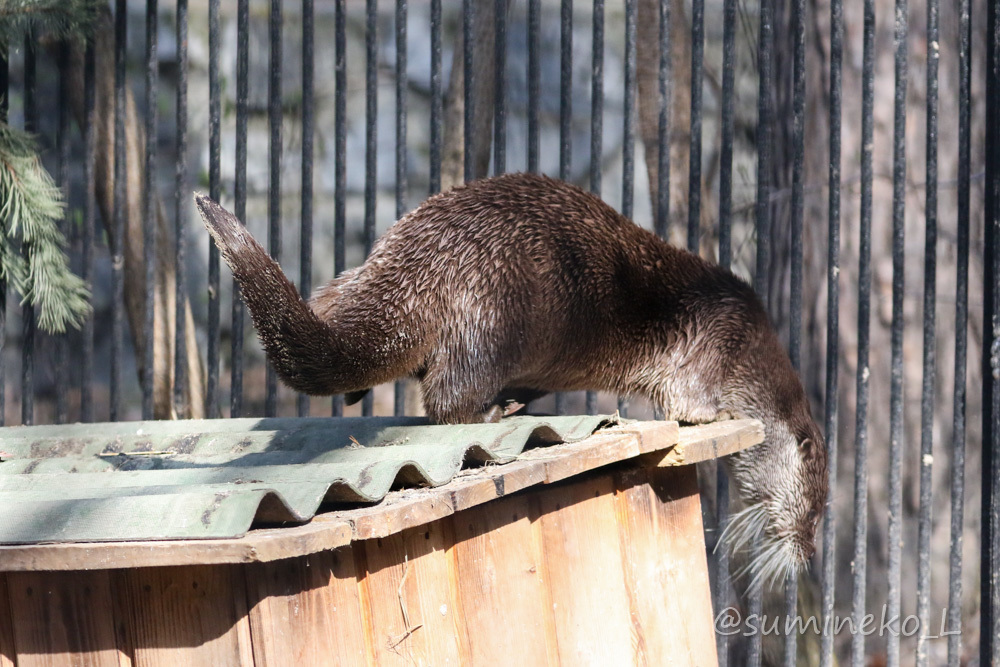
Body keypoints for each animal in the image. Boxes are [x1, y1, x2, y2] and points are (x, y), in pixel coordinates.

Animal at [195, 172, 828, 584]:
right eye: (816, 510)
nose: (808, 553)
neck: (750, 344)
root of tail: (417, 263)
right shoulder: (709, 346)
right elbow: (690, 403)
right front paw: (721, 414)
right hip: (493, 315)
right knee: (446, 398)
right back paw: (489, 412)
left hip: (363, 277)